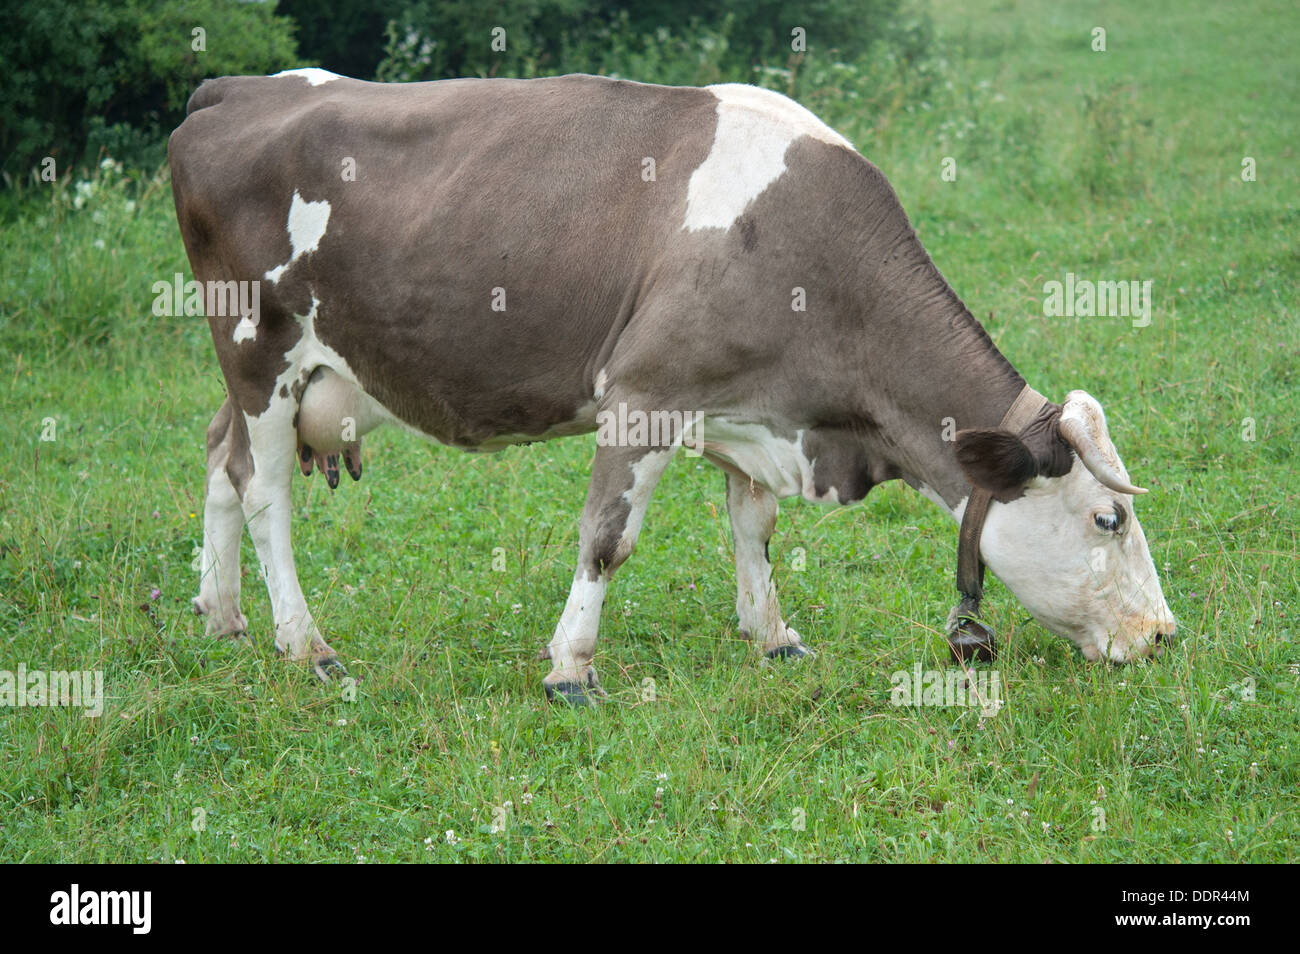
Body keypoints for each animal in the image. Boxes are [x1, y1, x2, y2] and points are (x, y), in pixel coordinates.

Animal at [168, 70, 1175, 701]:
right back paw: (305, 645)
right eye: (1108, 519)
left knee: (218, 457)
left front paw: (773, 636)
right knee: (264, 493)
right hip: (259, 348)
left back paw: (220, 617)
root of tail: (237, 87)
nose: (1165, 636)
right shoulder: (641, 395)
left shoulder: (745, 405)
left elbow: (754, 527)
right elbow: (607, 539)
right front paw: (571, 669)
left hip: (273, 369)